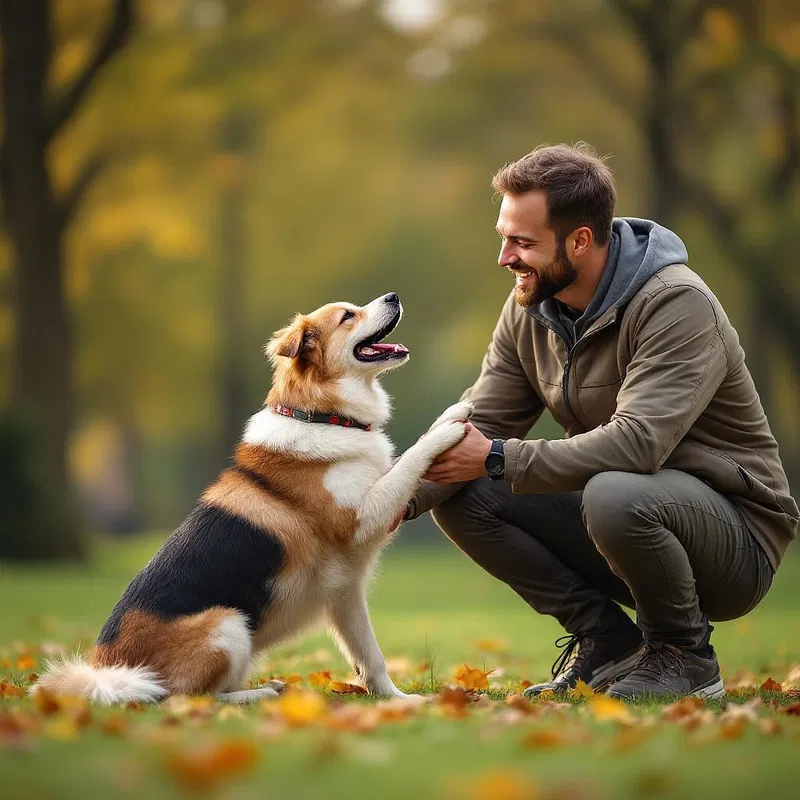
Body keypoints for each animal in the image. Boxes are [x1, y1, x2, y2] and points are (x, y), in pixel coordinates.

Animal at [37, 290, 472, 704]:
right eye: (348, 315)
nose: (394, 296)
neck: (322, 416)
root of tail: (108, 672)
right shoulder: (360, 519)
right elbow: (408, 461)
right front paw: (447, 428)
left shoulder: (346, 594)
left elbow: (371, 659)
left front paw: (400, 701)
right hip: (228, 624)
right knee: (188, 698)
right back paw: (258, 693)